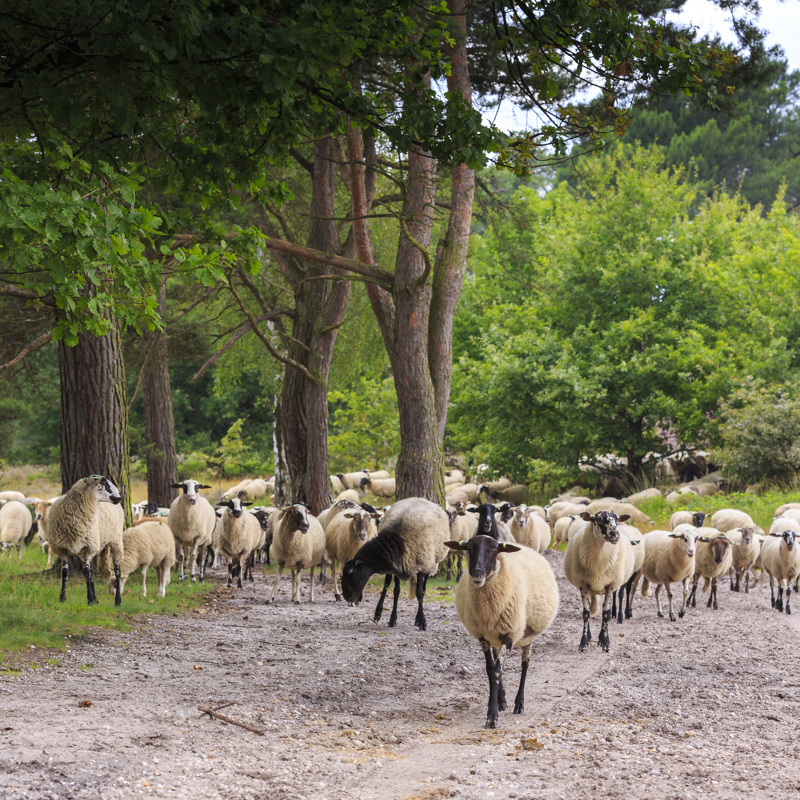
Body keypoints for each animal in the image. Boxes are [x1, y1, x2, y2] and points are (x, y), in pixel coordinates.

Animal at [47, 476, 123, 608]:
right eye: (106, 484)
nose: (120, 496)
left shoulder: (89, 547)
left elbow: (86, 572)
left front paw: (90, 599)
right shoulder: (62, 549)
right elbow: (65, 572)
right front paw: (62, 598)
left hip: (116, 541)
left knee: (118, 571)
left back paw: (117, 601)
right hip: (95, 546)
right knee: (92, 570)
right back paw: (97, 599)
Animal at [446, 536, 560, 728]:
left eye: (494, 549)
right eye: (469, 547)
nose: (477, 572)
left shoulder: (510, 635)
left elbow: (497, 672)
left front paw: (492, 717)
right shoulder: (483, 637)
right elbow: (490, 669)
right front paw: (496, 703)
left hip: (526, 636)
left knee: (525, 665)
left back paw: (519, 703)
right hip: (495, 638)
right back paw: (502, 700)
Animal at [560, 512, 636, 648]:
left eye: (617, 520)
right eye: (598, 519)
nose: (616, 535)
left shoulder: (610, 585)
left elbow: (605, 613)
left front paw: (605, 642)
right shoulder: (583, 585)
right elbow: (586, 613)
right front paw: (584, 642)